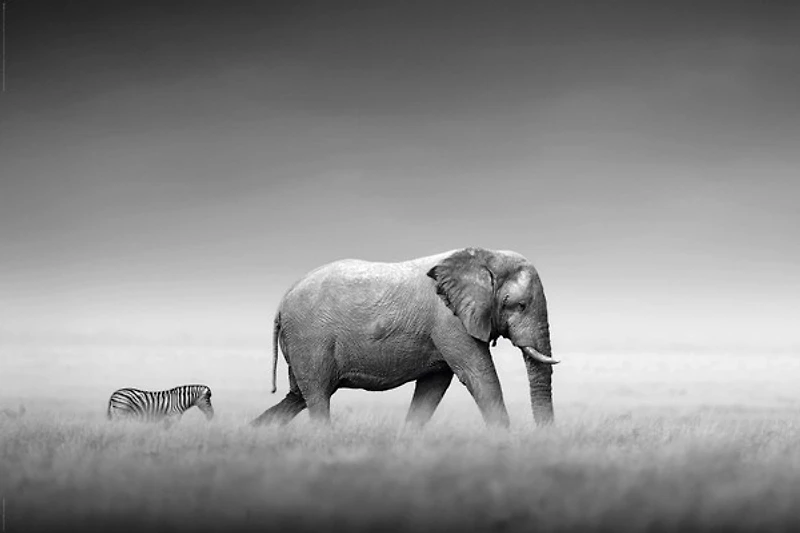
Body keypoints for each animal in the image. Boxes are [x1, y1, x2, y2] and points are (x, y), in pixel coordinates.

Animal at [250, 247, 558, 429]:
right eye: (519, 305)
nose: (542, 440)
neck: (484, 256)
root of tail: (282, 302)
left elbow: (433, 387)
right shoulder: (449, 321)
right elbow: (479, 376)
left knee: (297, 396)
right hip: (309, 339)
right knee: (316, 396)